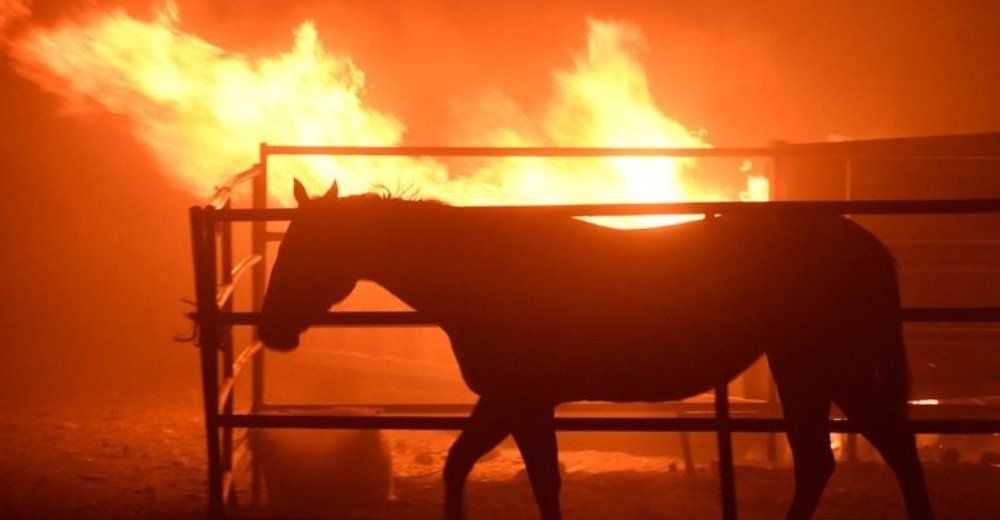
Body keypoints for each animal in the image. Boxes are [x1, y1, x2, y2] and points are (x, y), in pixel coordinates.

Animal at [256, 180, 928, 520]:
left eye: (306, 249)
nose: (269, 329)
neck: (484, 272)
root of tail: (864, 242)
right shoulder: (507, 401)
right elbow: (466, 468)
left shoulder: (521, 400)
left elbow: (540, 482)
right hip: (806, 370)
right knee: (834, 460)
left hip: (827, 367)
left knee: (881, 451)